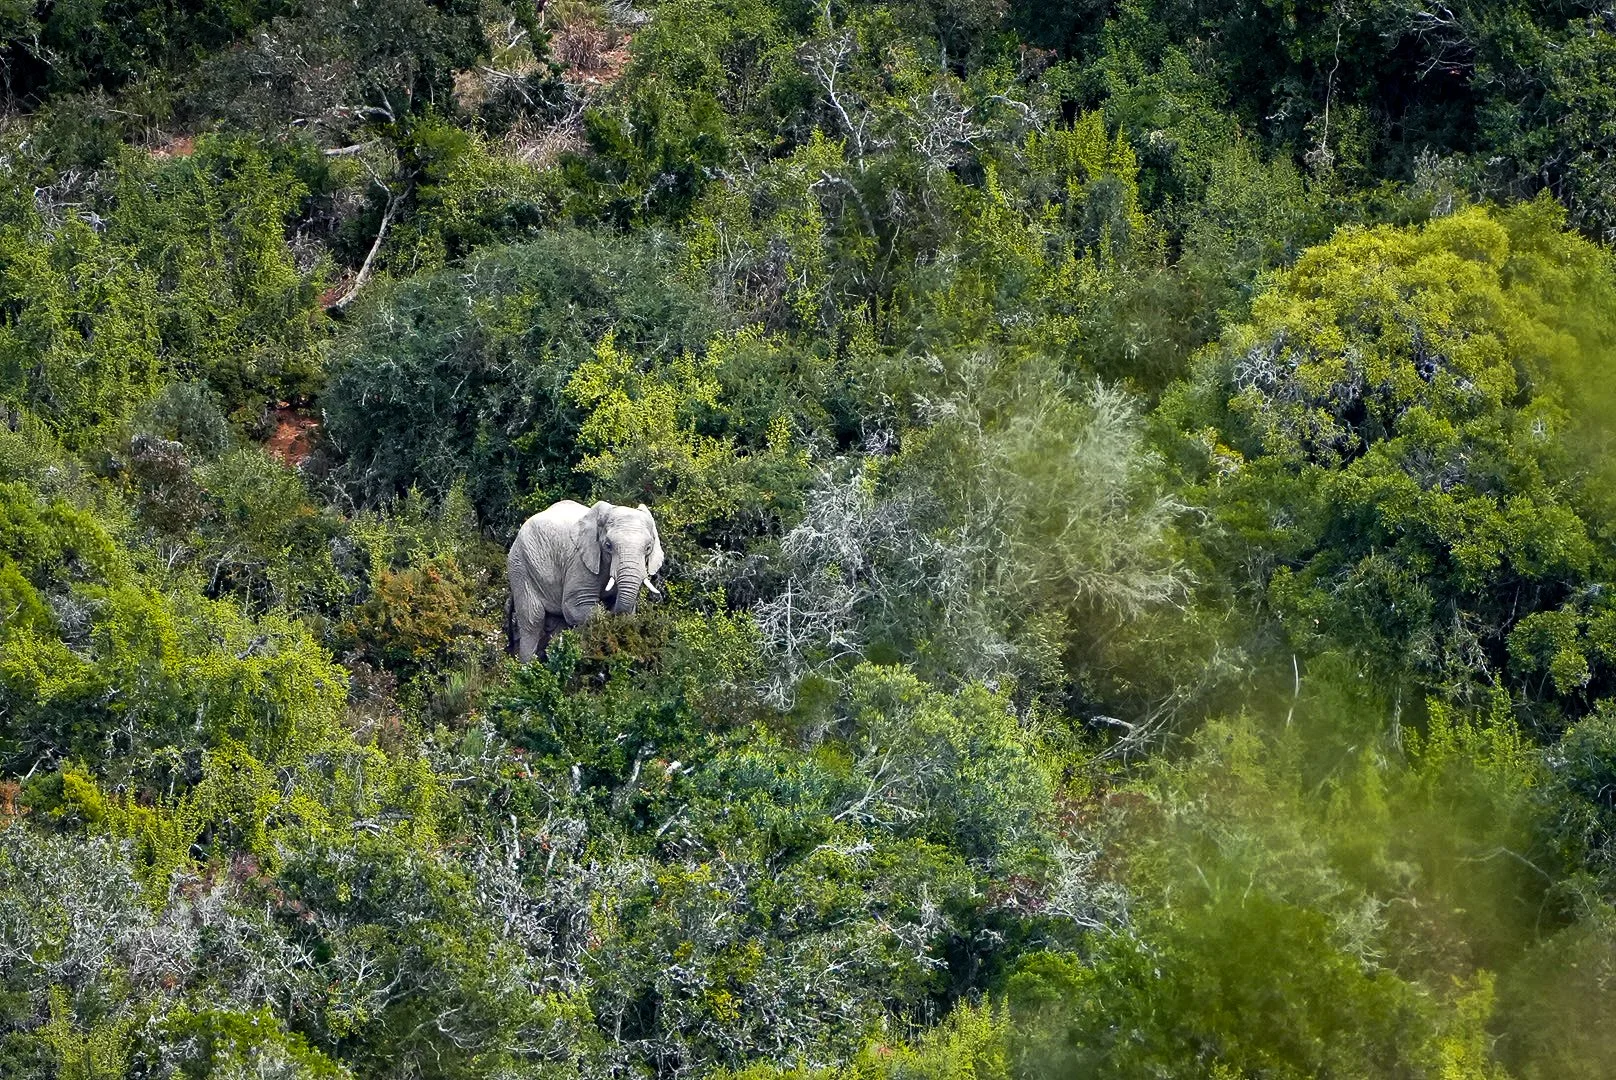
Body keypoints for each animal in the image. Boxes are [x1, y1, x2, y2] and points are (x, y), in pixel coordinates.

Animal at [506, 499, 665, 661]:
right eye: (608, 545)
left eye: (648, 548)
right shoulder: (580, 561)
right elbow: (575, 605)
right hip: (520, 566)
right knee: (533, 619)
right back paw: (528, 665)